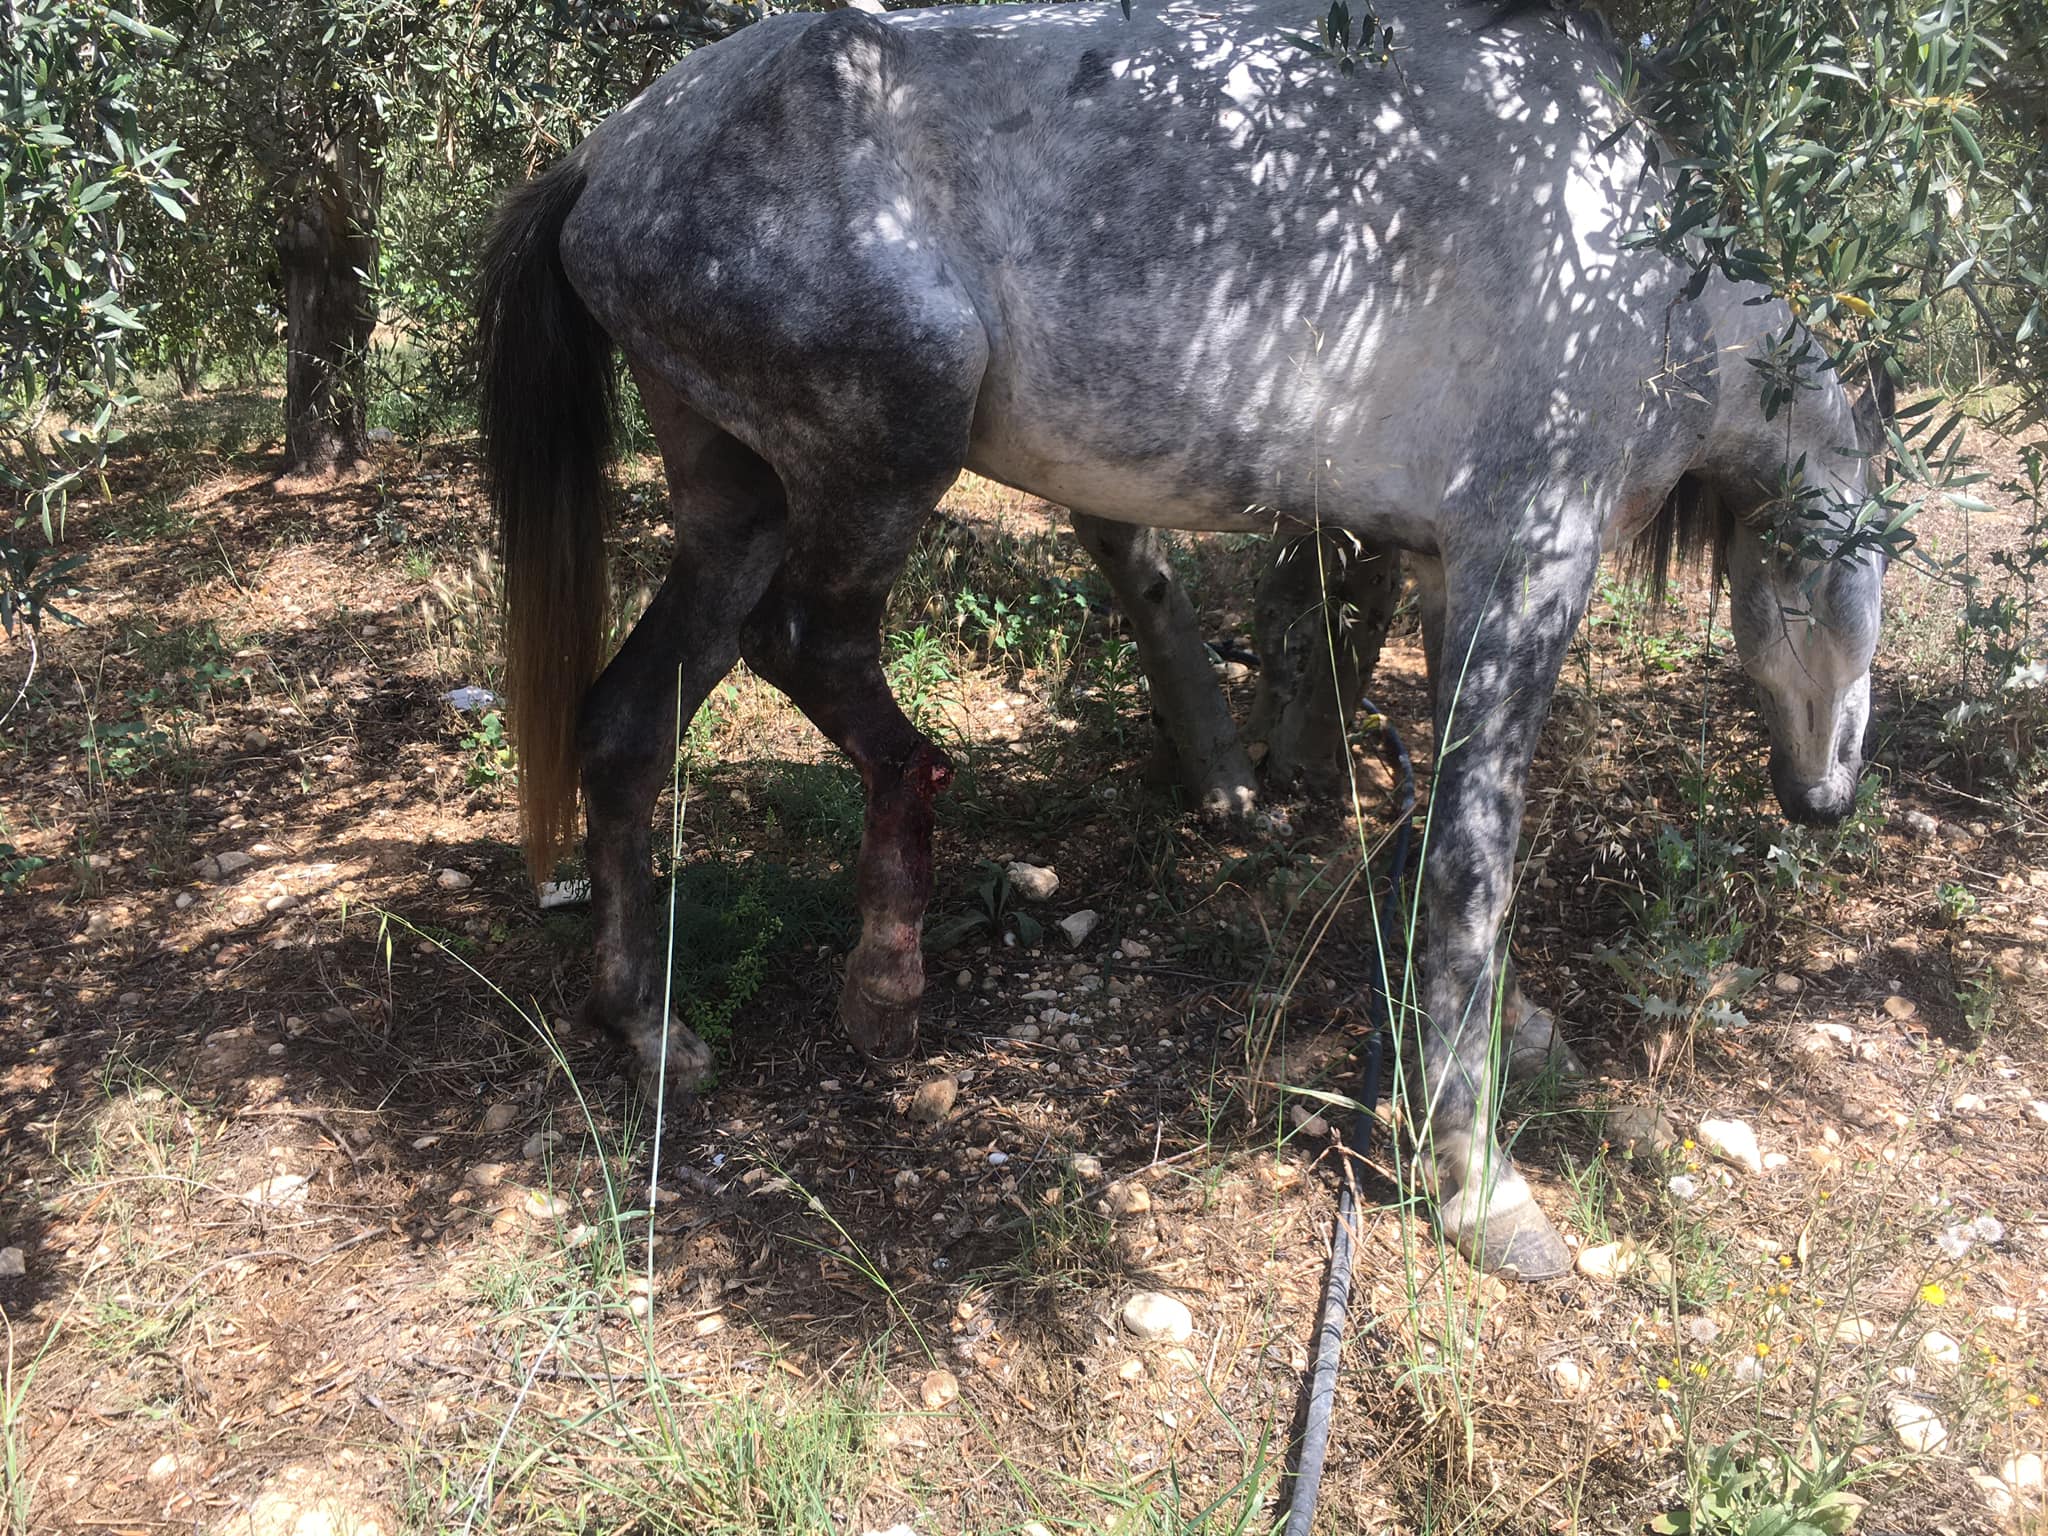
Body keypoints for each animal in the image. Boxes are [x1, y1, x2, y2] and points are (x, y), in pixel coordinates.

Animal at [479, 0, 1884, 1277]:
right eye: (1845, 574)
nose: (1823, 797)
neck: (1630, 272)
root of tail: (611, 154)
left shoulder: (1448, 578)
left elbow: (1442, 819)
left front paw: (1511, 1039)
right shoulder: (1524, 565)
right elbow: (1471, 864)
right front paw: (1478, 1182)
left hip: (737, 503)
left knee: (626, 727)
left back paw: (648, 1029)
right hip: (881, 454)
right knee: (810, 653)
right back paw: (886, 958)